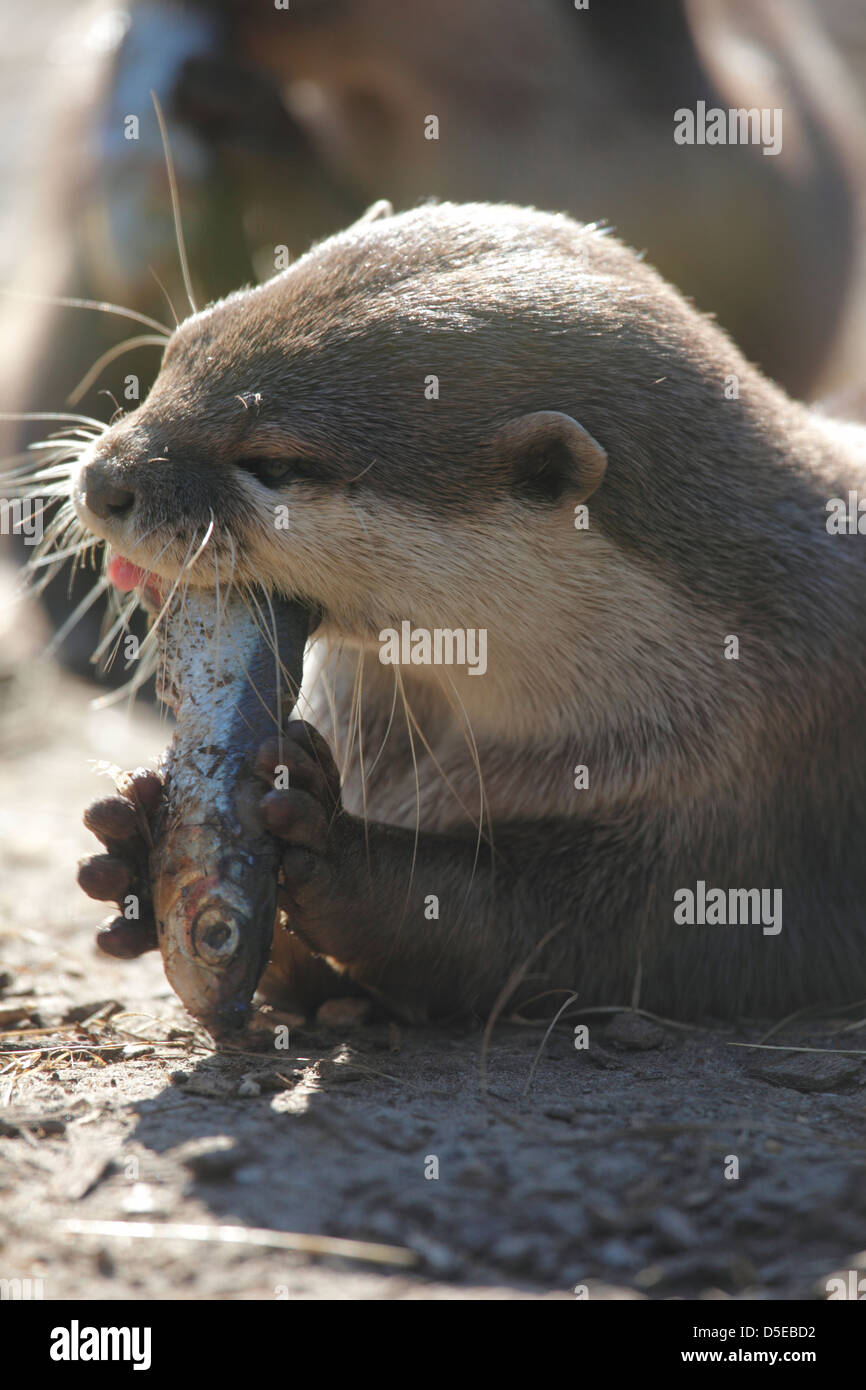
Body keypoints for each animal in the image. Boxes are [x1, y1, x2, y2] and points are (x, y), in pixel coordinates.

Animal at [70, 200, 866, 1023]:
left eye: (275, 463)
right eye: (180, 348)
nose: (103, 480)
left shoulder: (758, 792)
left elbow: (563, 938)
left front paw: (330, 842)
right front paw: (135, 841)